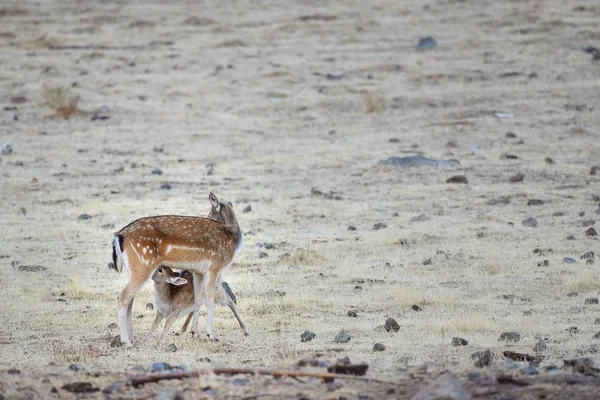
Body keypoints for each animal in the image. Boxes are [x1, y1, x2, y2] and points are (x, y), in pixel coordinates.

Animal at [111, 192, 245, 346]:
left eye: (210, 214)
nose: (207, 217)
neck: (232, 237)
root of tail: (119, 236)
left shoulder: (199, 271)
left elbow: (198, 299)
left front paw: (195, 333)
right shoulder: (215, 267)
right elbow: (209, 298)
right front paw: (211, 335)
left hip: (132, 269)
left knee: (130, 299)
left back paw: (132, 338)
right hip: (143, 265)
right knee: (122, 298)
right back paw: (126, 341)